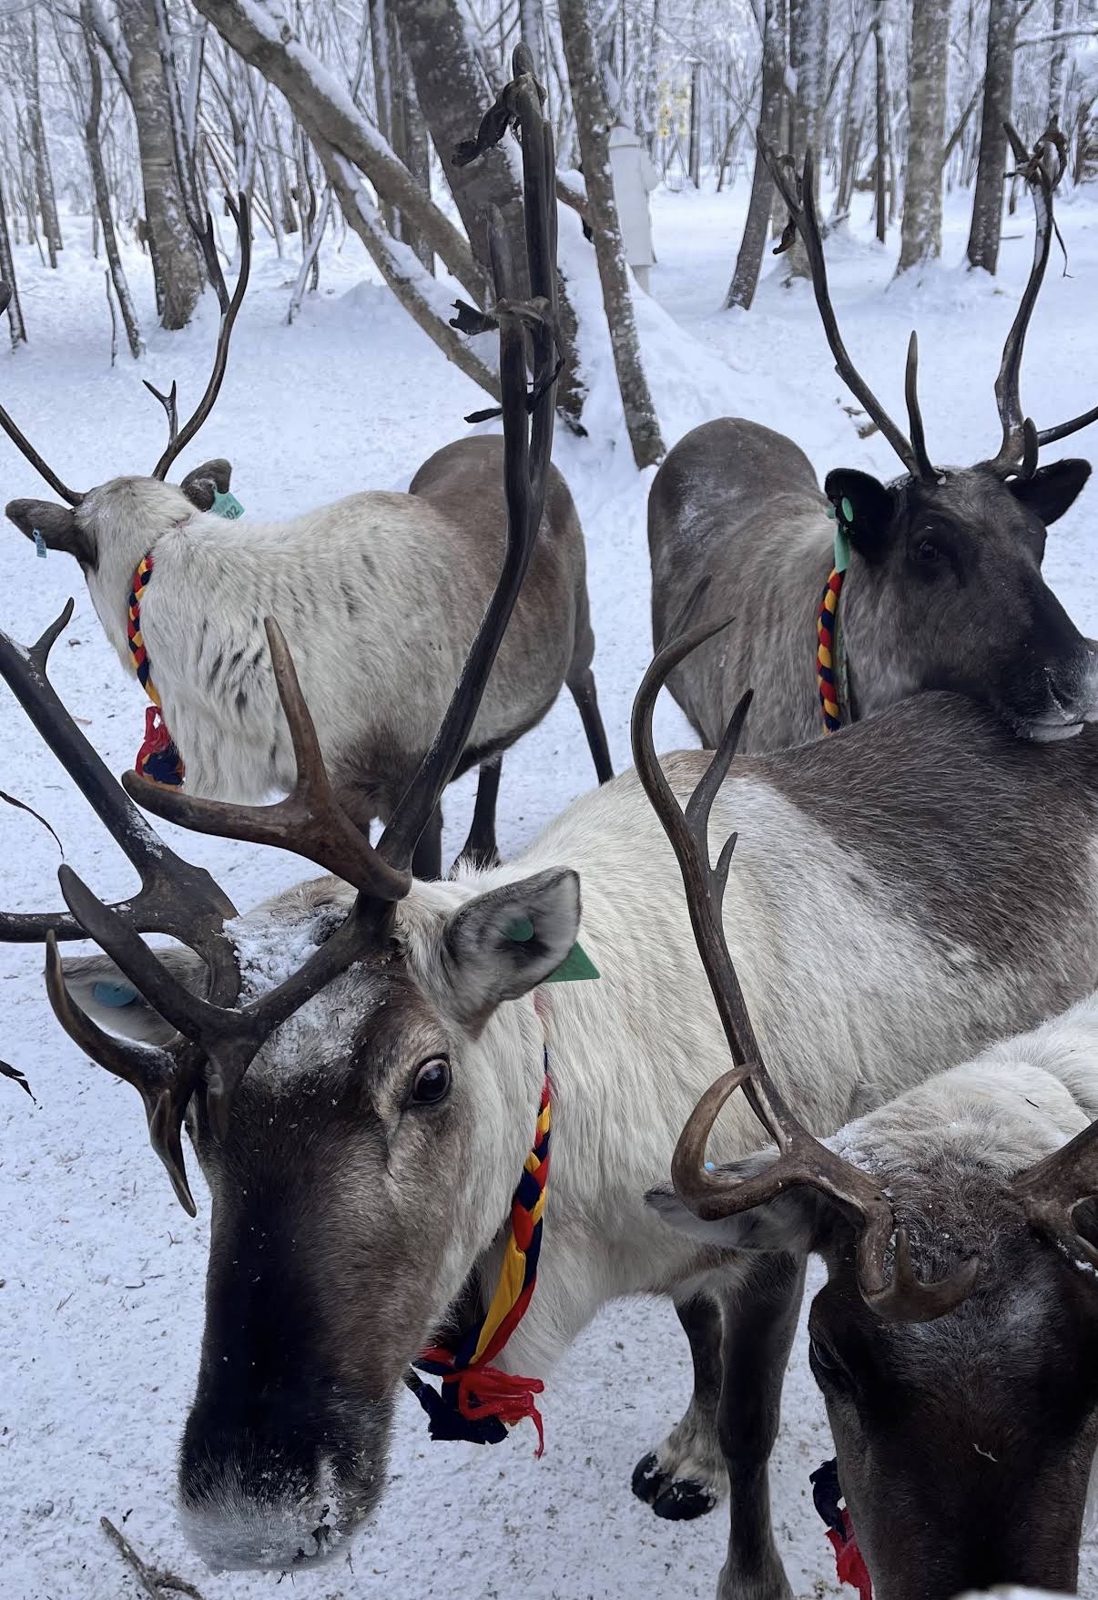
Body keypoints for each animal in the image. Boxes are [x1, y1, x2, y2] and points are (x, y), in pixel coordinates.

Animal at [0, 192, 611, 880]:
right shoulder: (337, 799)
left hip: (580, 627)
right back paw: (480, 846)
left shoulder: (409, 782)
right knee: (497, 753)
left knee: (587, 688)